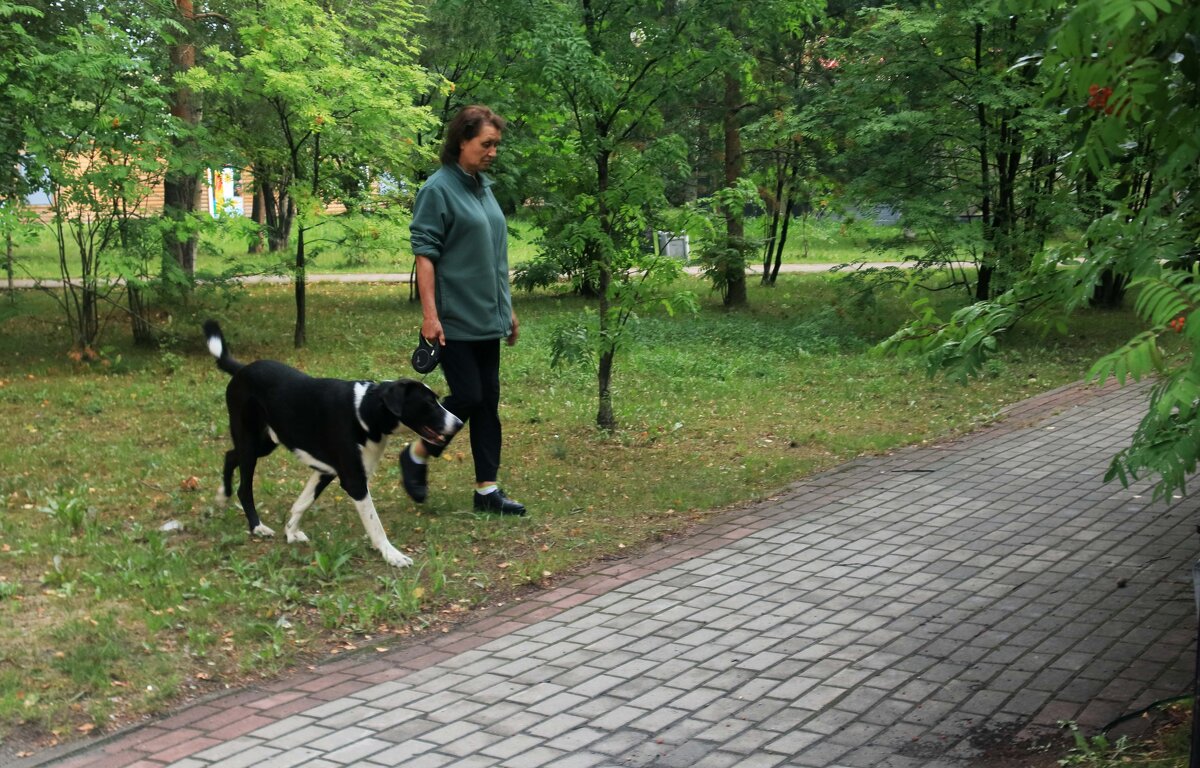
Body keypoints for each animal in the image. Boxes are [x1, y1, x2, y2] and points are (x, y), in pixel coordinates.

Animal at [204, 321, 460, 566]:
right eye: (429, 403)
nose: (458, 423)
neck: (364, 411)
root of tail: (241, 370)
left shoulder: (324, 470)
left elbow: (302, 503)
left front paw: (291, 532)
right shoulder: (355, 481)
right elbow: (375, 524)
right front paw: (392, 555)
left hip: (265, 442)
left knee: (230, 455)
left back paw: (223, 495)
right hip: (250, 441)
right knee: (244, 487)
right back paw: (256, 526)